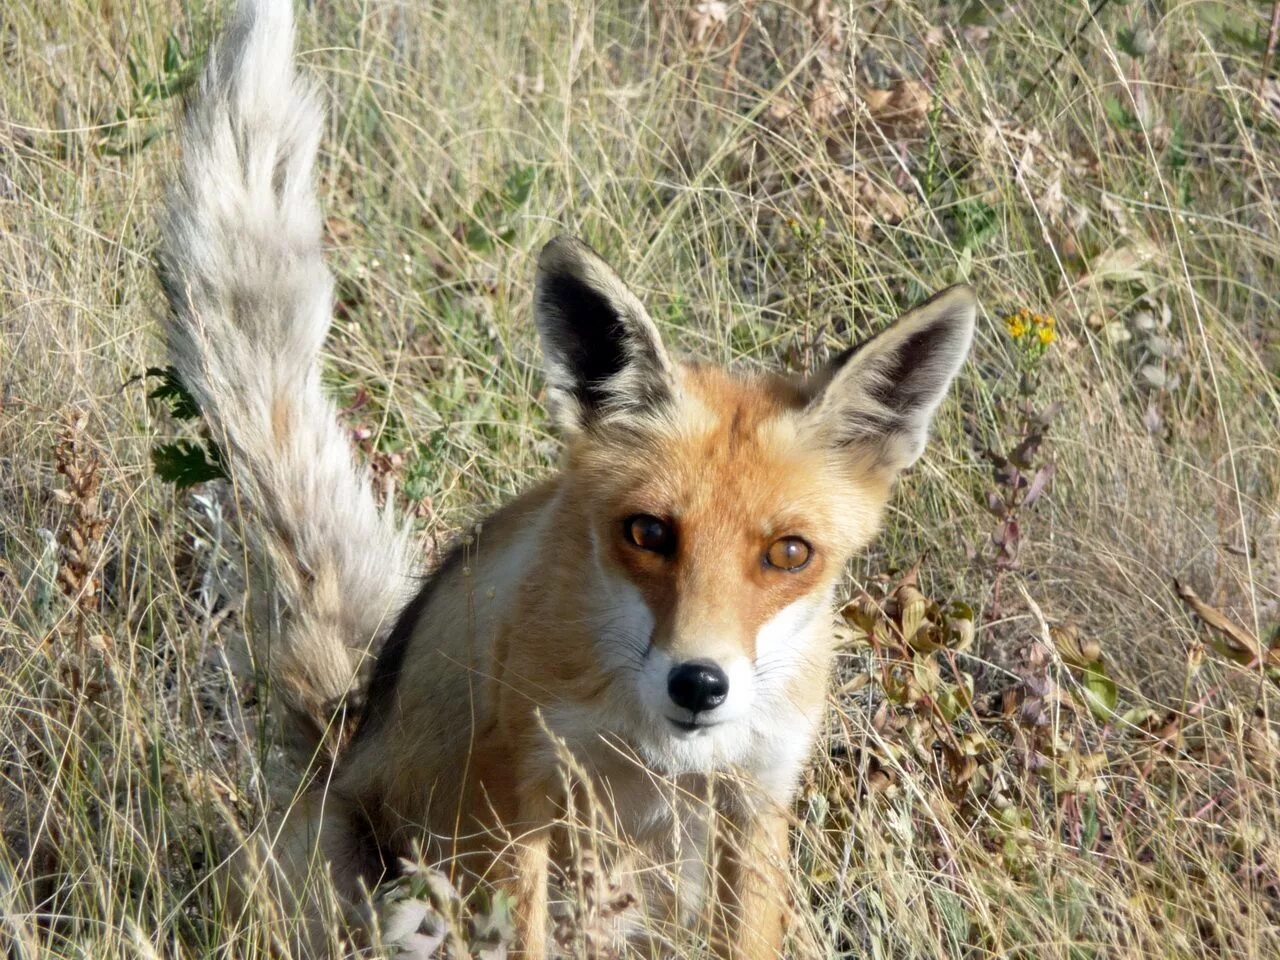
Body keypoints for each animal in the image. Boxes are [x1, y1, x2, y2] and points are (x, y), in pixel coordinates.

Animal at [157, 0, 977, 957]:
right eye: (648, 533)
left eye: (789, 554)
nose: (699, 684)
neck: (650, 749)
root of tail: (342, 728)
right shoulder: (522, 796)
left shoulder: (755, 798)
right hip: (384, 895)